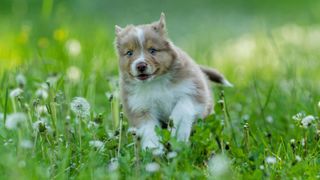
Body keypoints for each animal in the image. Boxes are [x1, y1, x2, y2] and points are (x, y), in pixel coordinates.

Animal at [114, 13, 231, 150]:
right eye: (129, 53)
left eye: (152, 50)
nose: (140, 65)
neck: (155, 82)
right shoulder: (140, 107)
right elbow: (149, 129)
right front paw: (153, 149)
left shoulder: (193, 91)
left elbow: (182, 109)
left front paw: (177, 135)